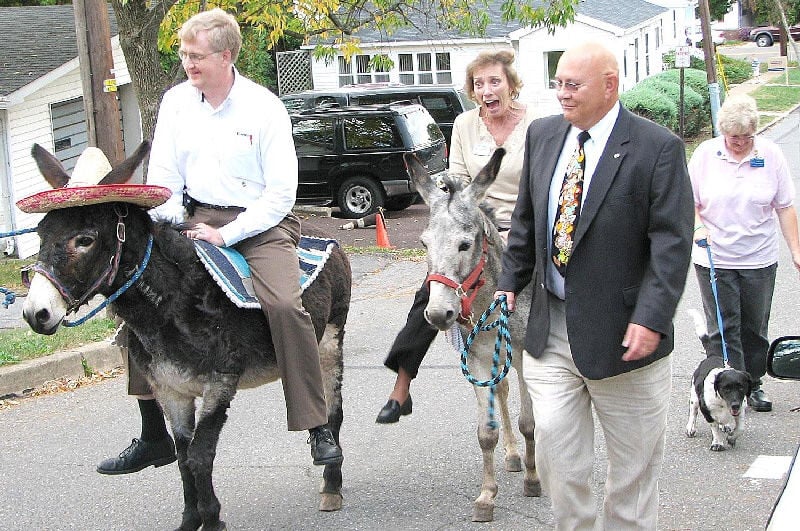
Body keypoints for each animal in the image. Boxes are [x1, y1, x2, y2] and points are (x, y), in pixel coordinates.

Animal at [684, 312, 752, 454]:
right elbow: (714, 427)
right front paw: (717, 443)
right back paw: (690, 428)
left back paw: (725, 426)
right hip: (694, 397)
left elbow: (740, 427)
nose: (735, 405)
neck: (723, 402)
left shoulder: (741, 410)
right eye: (726, 388)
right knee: (693, 412)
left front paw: (731, 438)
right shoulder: (706, 411)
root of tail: (712, 356)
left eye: (741, 388)